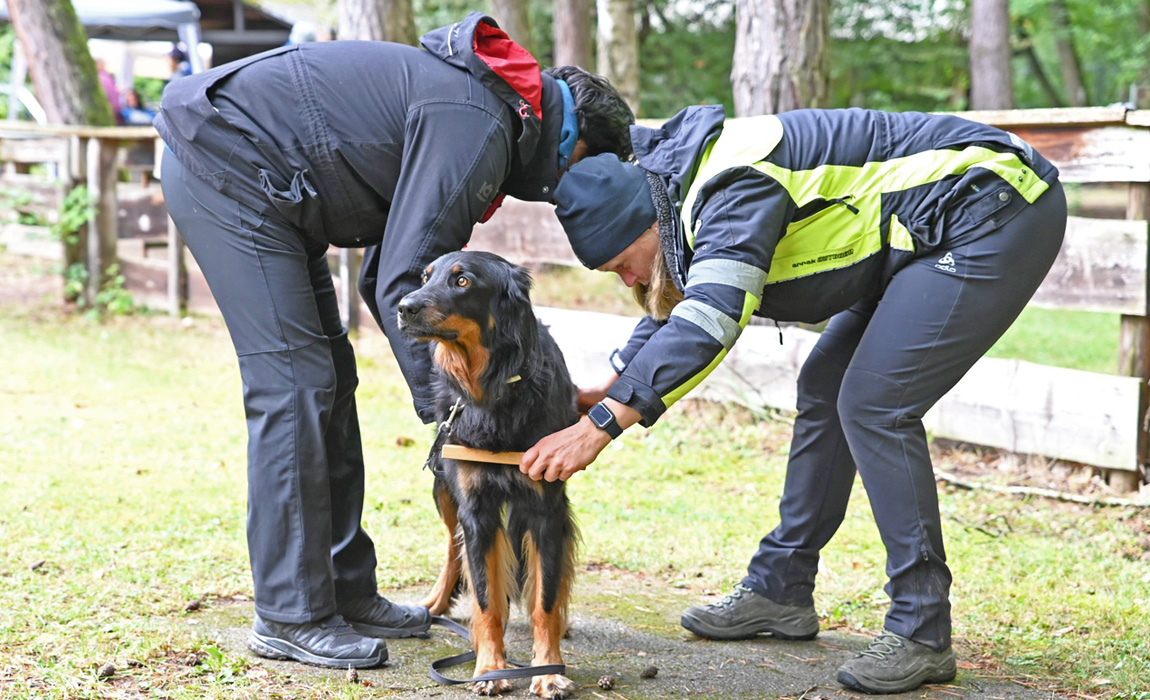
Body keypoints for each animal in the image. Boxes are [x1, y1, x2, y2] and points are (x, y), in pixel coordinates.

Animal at [397, 252, 579, 698]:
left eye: (462, 281)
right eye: (425, 277)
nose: (404, 308)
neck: (495, 389)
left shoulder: (546, 508)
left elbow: (545, 600)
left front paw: (548, 671)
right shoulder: (476, 510)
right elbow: (486, 597)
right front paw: (489, 668)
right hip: (443, 486)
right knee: (453, 546)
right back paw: (435, 603)